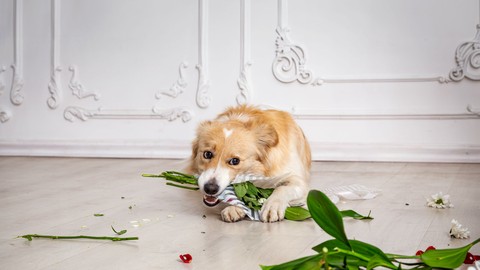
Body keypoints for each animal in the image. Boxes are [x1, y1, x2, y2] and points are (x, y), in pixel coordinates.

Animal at [184, 104, 312, 223]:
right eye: (207, 154)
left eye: (235, 161)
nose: (210, 189)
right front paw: (236, 208)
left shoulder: (297, 180)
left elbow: (282, 189)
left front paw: (272, 206)